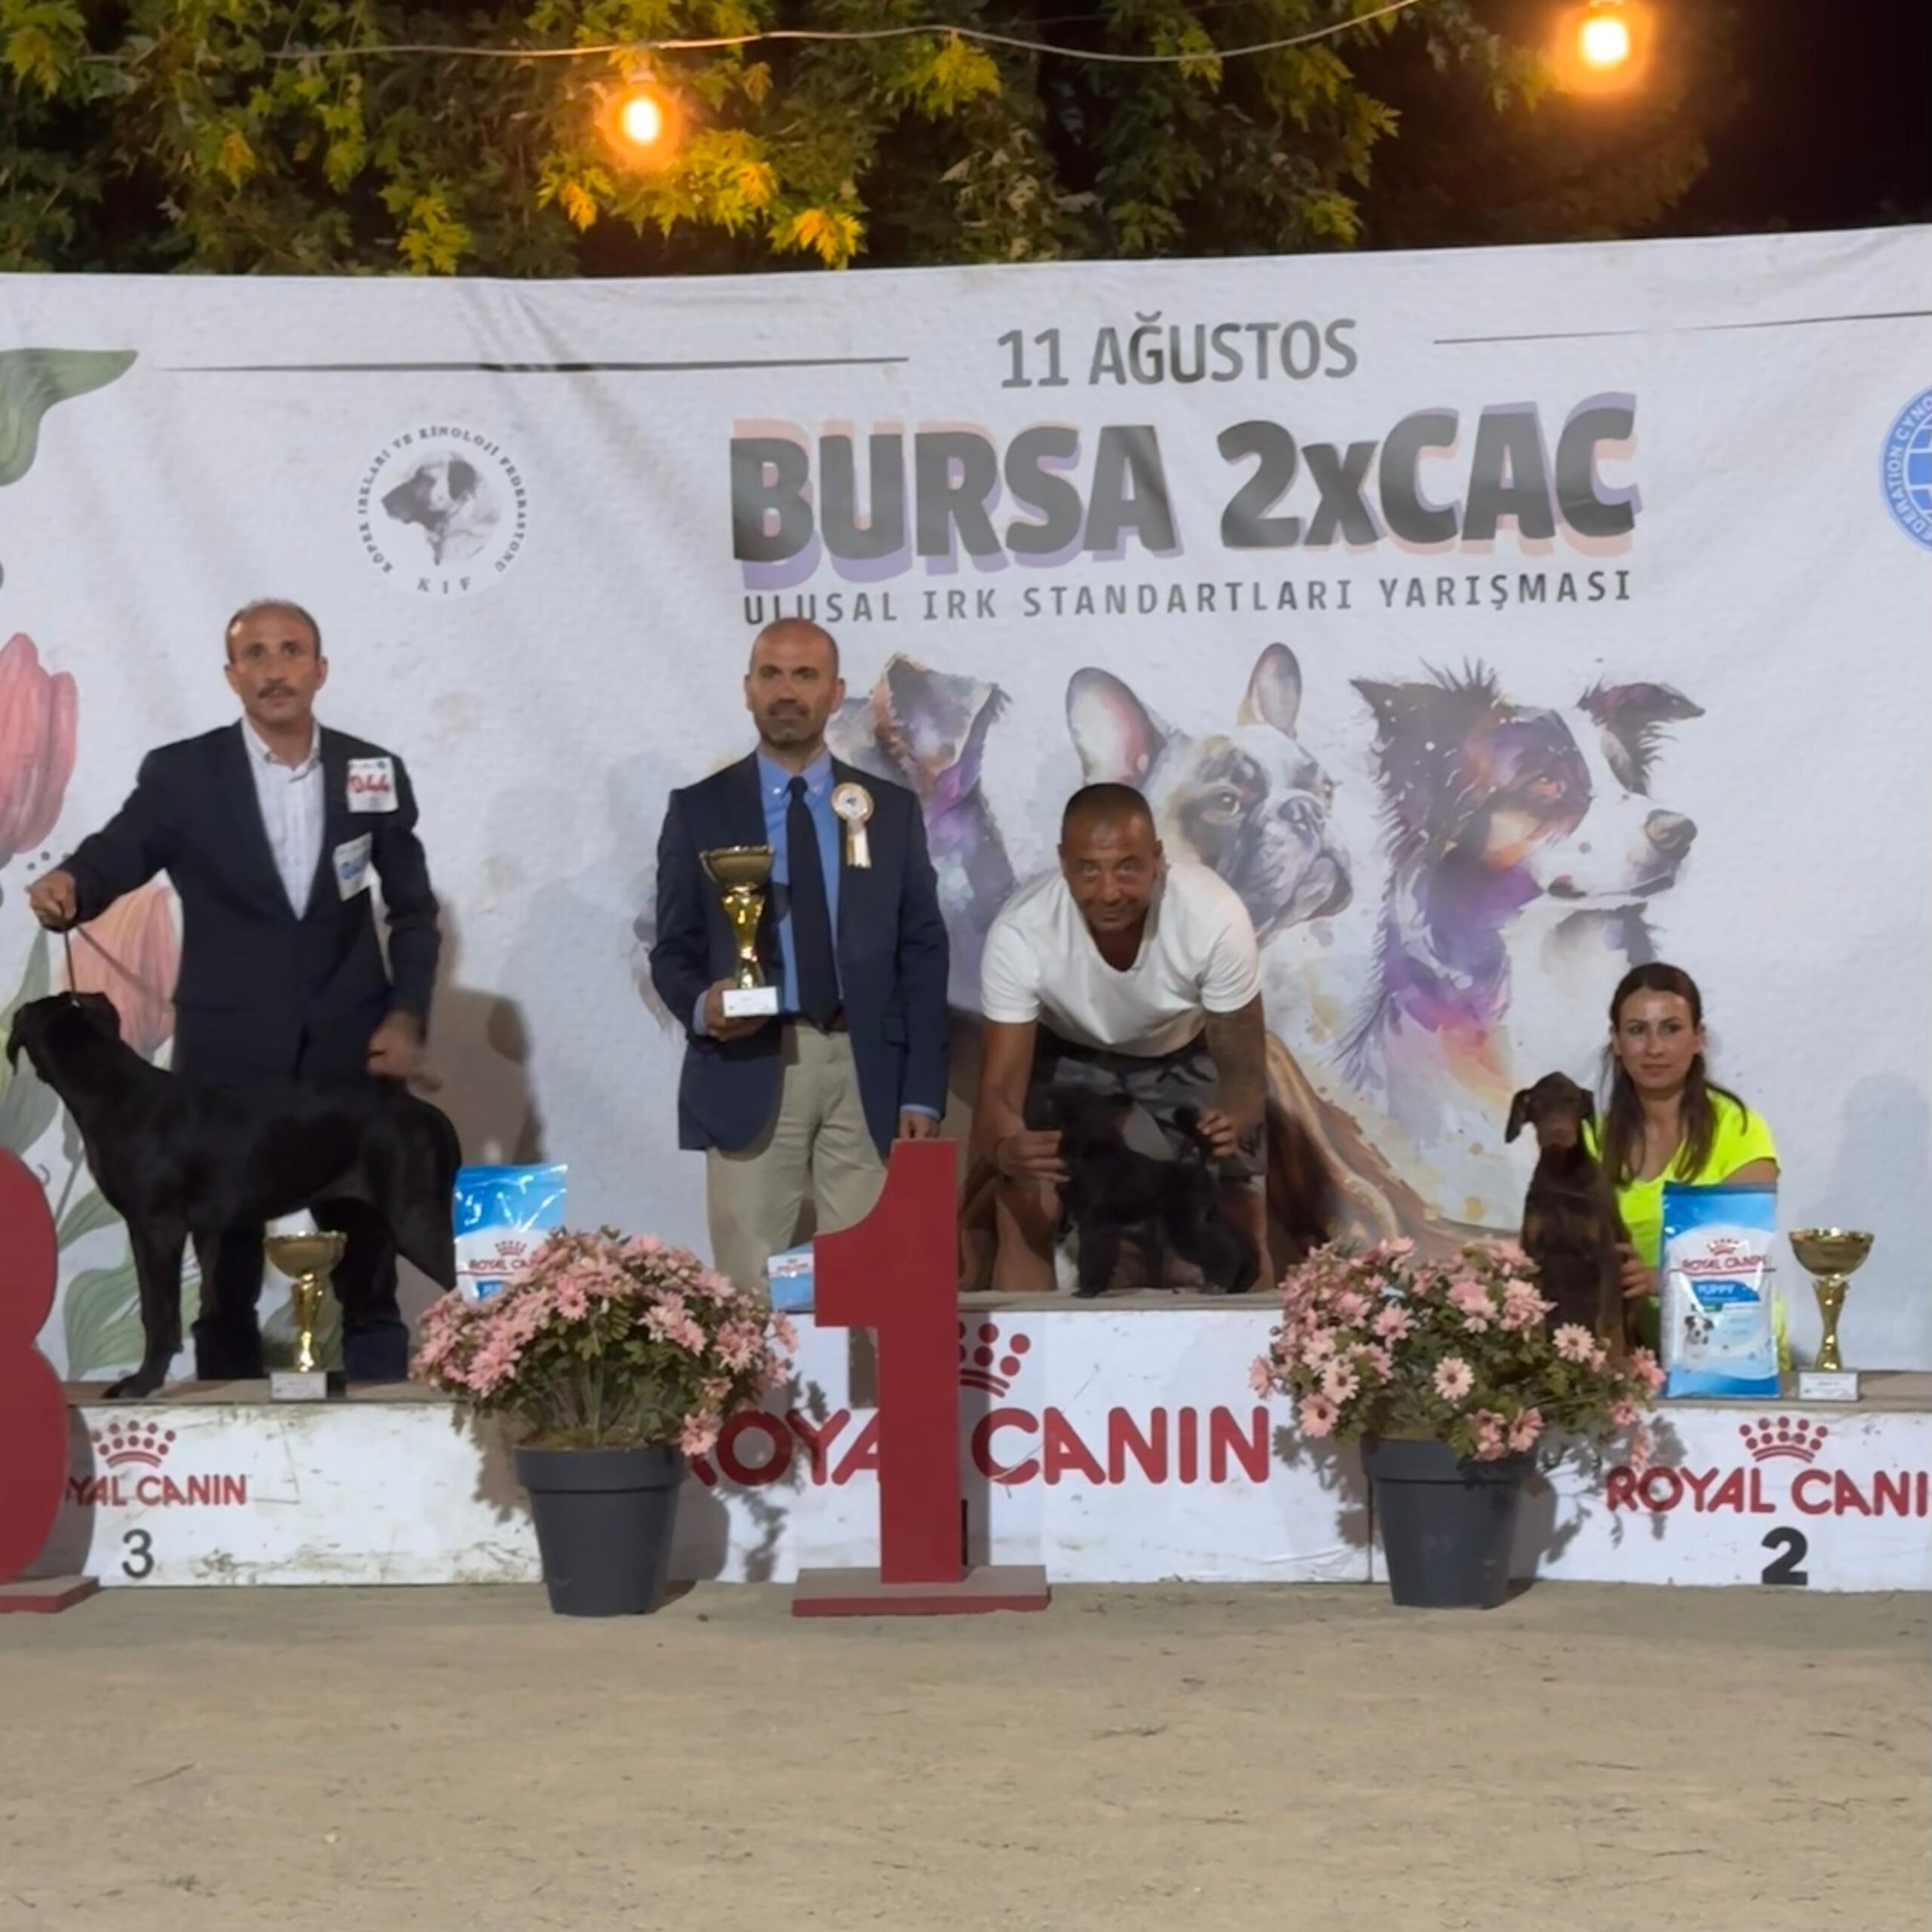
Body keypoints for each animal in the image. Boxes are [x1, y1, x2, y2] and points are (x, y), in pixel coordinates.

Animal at [8, 992, 460, 1399]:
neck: (110, 1087)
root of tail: (430, 1114)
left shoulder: (157, 1228)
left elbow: (160, 1314)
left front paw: (142, 1383)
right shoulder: (157, 1231)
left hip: (417, 1220)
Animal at [1024, 1086, 1260, 1298]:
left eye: (1051, 1101)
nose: (1029, 1106)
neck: (1089, 1151)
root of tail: (1199, 1168)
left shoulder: (1095, 1220)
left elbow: (1093, 1254)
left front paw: (1088, 1290)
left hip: (1185, 1225)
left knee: (1221, 1250)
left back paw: (1218, 1284)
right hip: (1202, 1219)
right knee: (1233, 1244)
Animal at [1506, 1071, 1630, 1349]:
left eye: (1573, 1102)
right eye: (1538, 1103)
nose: (1558, 1132)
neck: (1562, 1173)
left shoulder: (1608, 1254)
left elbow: (1609, 1324)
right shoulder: (1533, 1251)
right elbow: (1535, 1313)